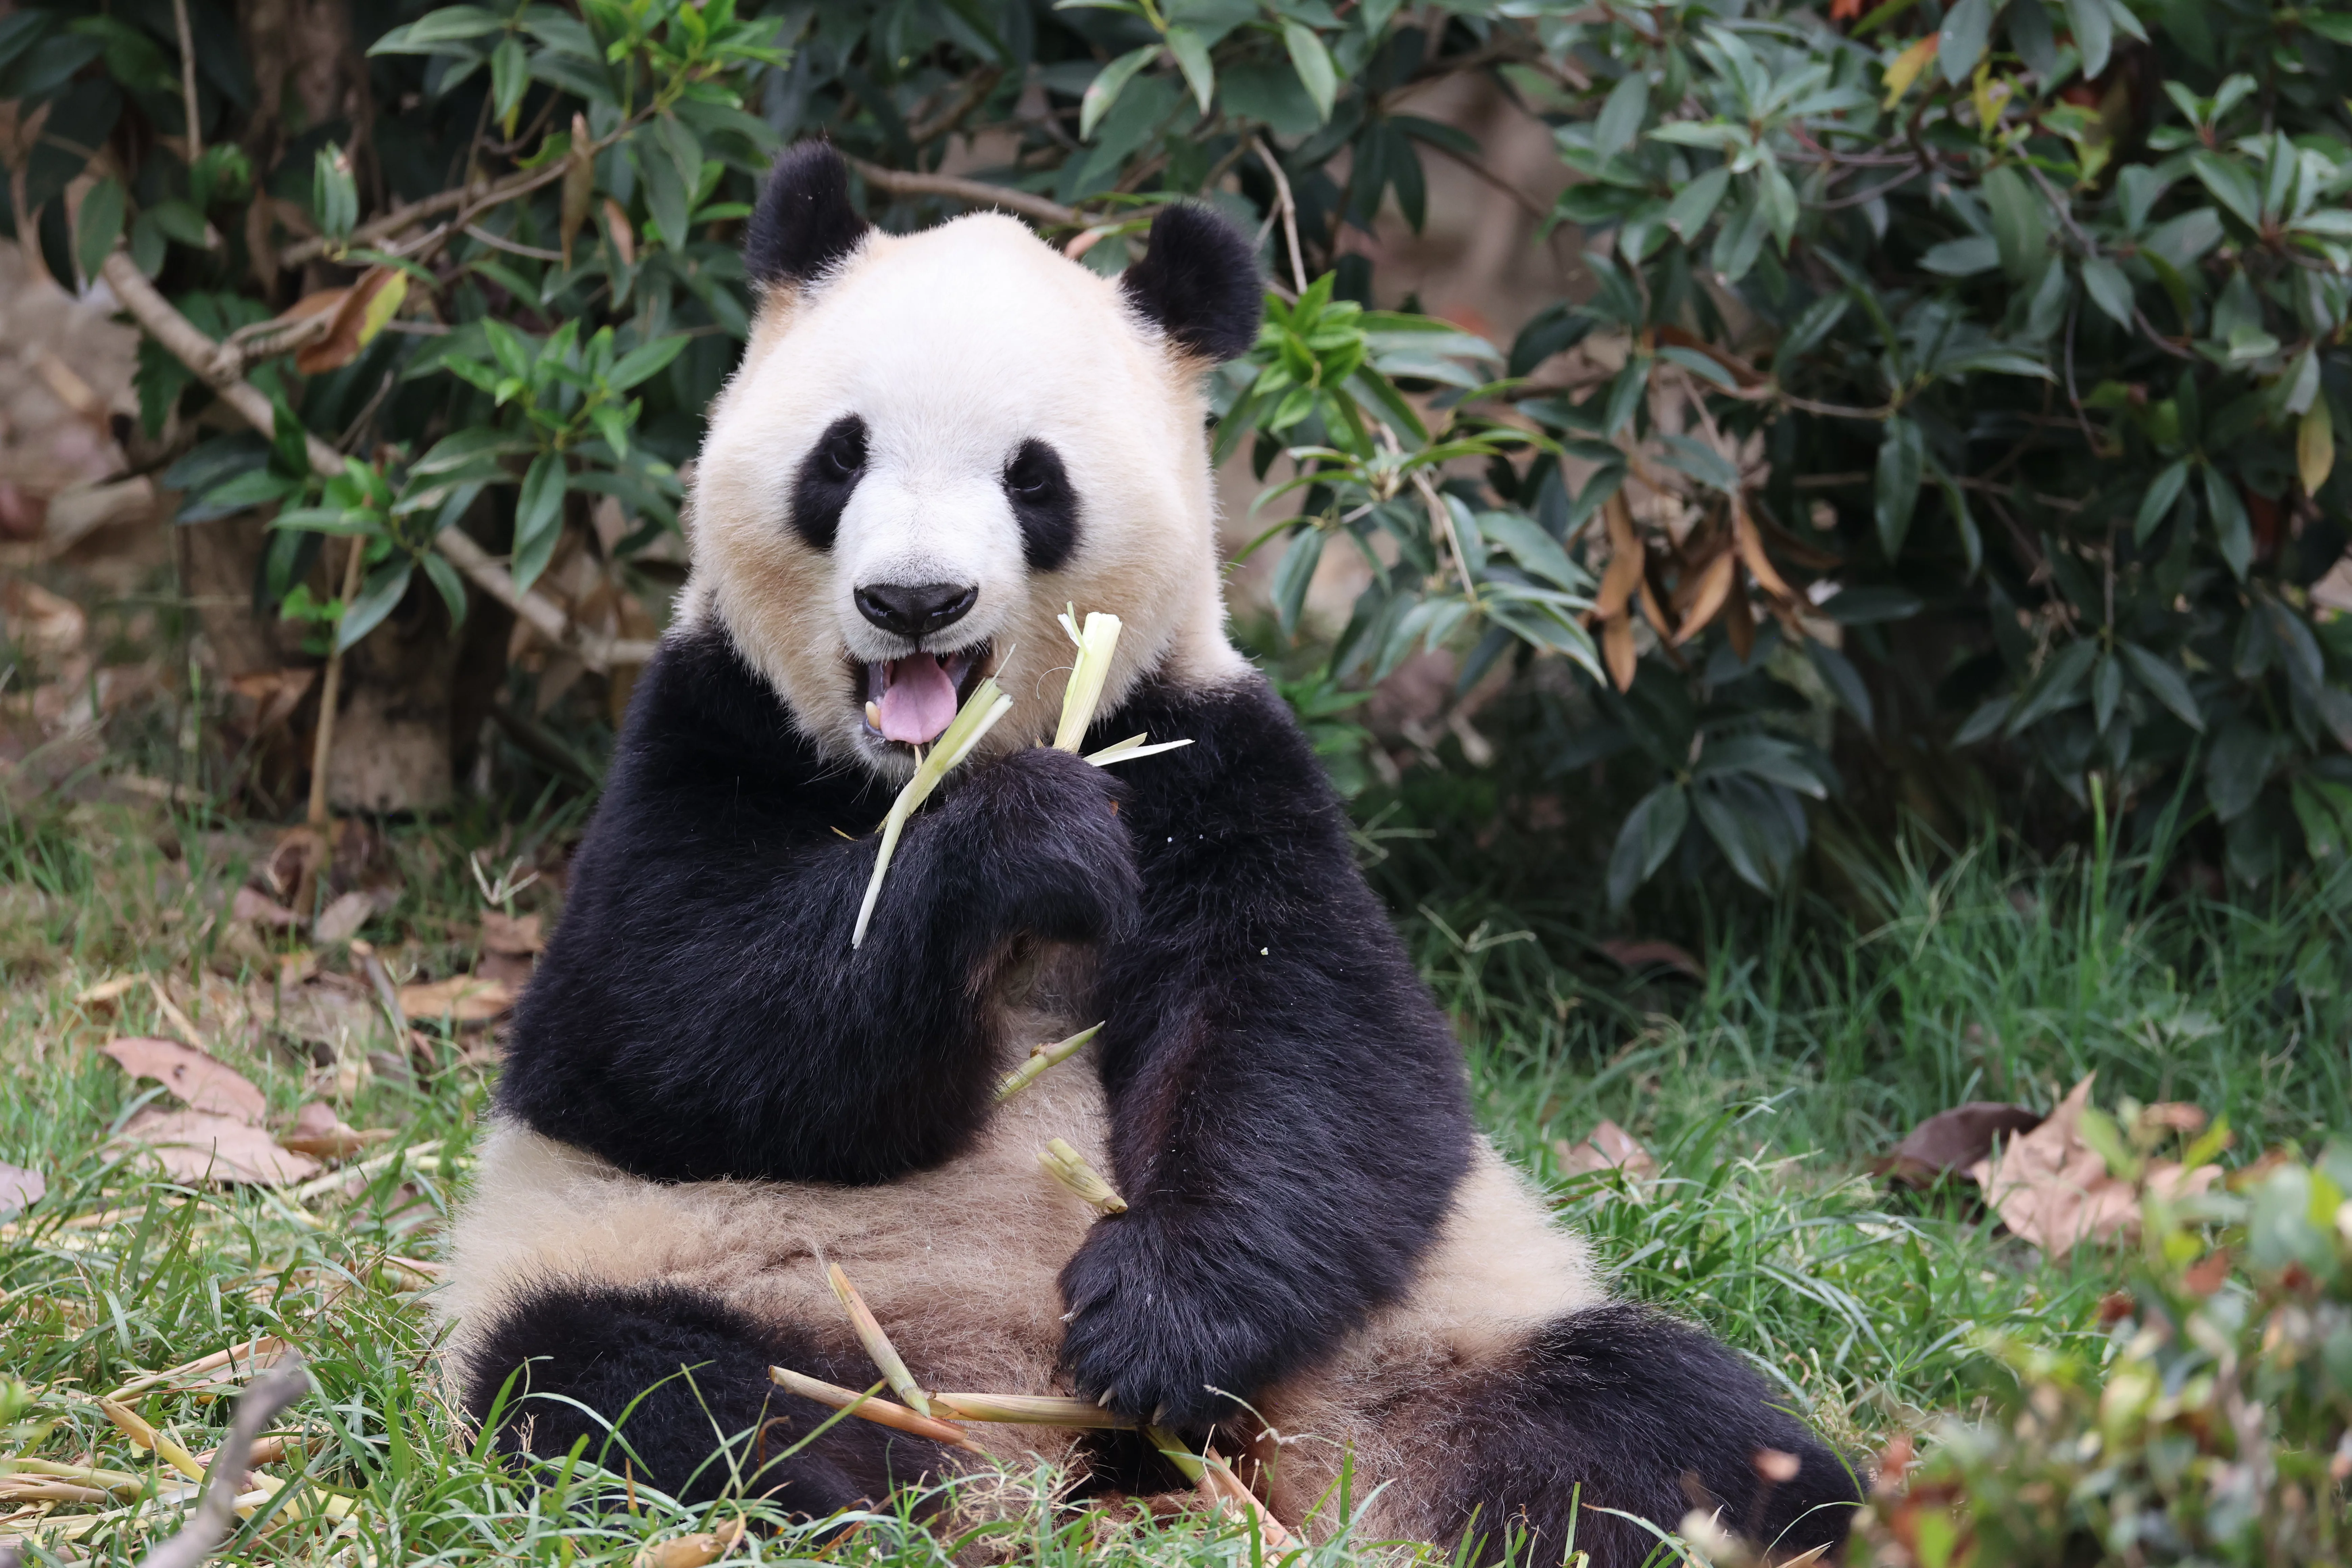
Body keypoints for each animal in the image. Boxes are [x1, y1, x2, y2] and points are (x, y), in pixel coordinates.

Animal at [435, 141, 1862, 1567]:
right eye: (839, 457)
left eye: (1032, 478)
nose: (914, 600)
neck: (919, 769)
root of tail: (1042, 1450)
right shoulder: (704, 729)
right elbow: (655, 1024)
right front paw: (1019, 845)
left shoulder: (1212, 750)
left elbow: (1310, 1039)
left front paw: (1158, 1320)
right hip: (723, 1274)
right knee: (629, 1387)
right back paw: (843, 1502)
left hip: (1413, 1333)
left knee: (1649, 1417)